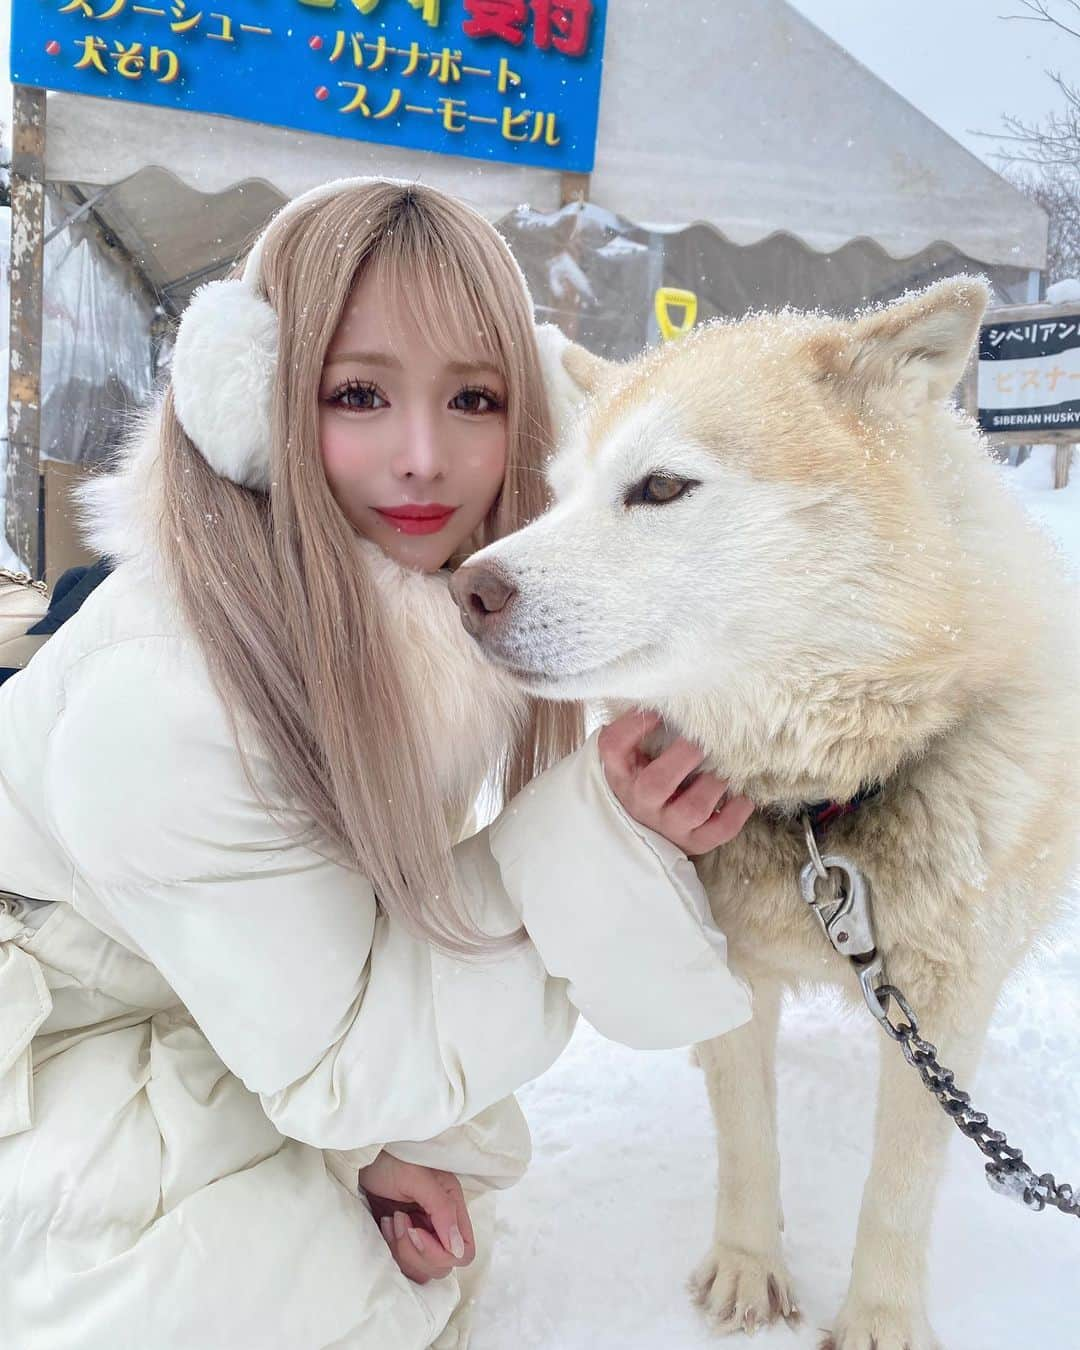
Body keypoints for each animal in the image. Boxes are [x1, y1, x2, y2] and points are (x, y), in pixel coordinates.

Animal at [448, 282, 1080, 1350]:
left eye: (660, 487)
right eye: (561, 493)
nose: (467, 589)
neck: (821, 804)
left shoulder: (946, 1000)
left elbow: (899, 1182)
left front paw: (879, 1318)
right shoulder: (736, 971)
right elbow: (746, 1137)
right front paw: (749, 1266)